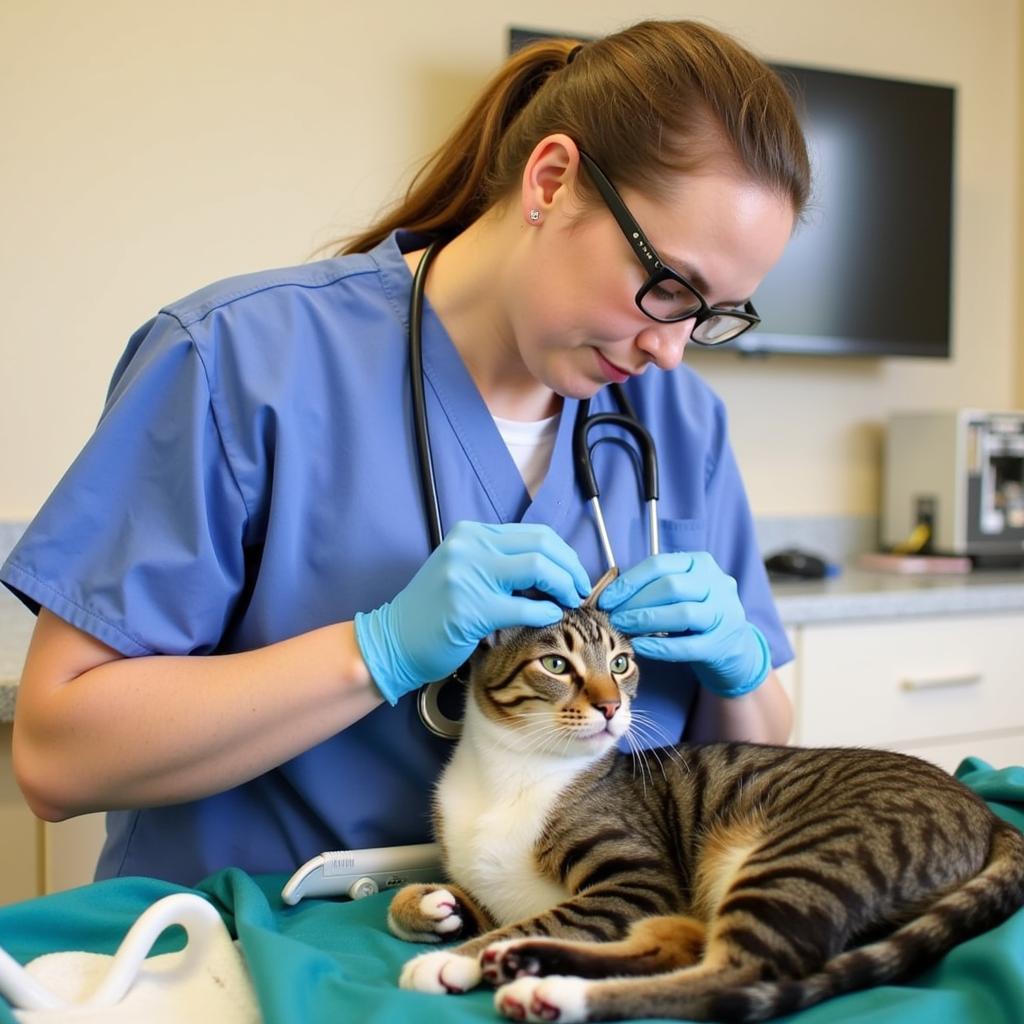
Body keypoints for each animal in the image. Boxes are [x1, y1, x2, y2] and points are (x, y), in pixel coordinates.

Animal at [389, 573, 1024, 1019]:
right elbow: (458, 906)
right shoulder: (494, 886)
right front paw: (430, 906)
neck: (511, 768)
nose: (611, 706)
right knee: (674, 946)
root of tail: (989, 815)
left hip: (804, 858)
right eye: (555, 664)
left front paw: (452, 958)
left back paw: (552, 991)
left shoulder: (640, 880)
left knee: (733, 978)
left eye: (620, 663)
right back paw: (530, 967)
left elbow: (547, 916)